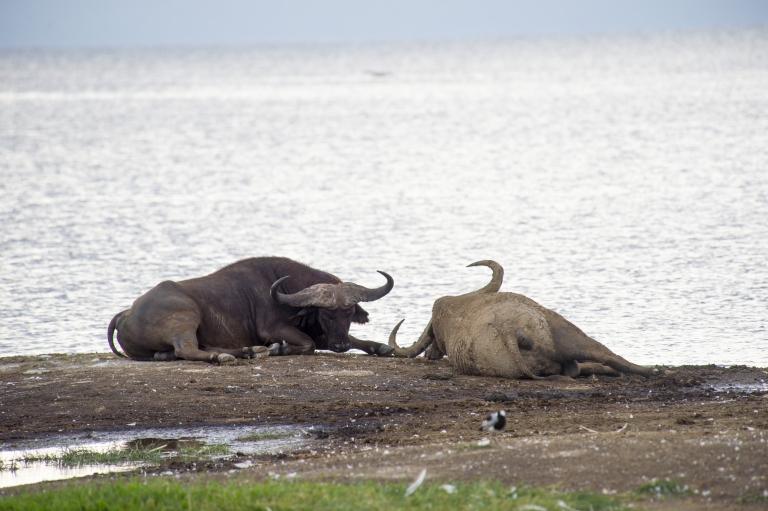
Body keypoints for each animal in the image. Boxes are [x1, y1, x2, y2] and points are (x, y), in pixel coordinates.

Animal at [108, 257, 395, 364]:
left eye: (349, 313)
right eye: (325, 314)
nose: (340, 345)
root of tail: (125, 313)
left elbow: (355, 339)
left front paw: (381, 346)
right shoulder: (272, 328)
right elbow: (308, 343)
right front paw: (280, 349)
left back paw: (249, 351)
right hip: (186, 316)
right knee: (186, 349)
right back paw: (226, 356)